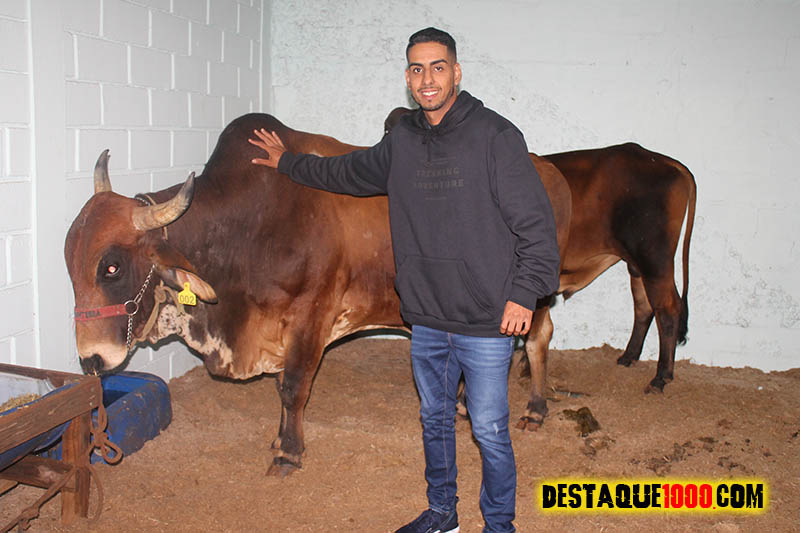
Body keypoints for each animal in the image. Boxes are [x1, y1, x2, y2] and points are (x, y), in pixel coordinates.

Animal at [64, 113, 571, 475]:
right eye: (69, 264)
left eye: (112, 267)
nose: (91, 360)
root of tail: (545, 167)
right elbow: (281, 389)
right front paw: (279, 440)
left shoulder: (312, 315)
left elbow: (293, 388)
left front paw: (288, 453)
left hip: (533, 295)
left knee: (538, 338)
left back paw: (535, 409)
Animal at [385, 108, 697, 430]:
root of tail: (660, 159)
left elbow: (535, 340)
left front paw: (532, 408)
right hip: (637, 264)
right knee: (644, 306)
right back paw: (629, 356)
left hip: (655, 258)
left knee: (668, 309)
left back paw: (661, 377)